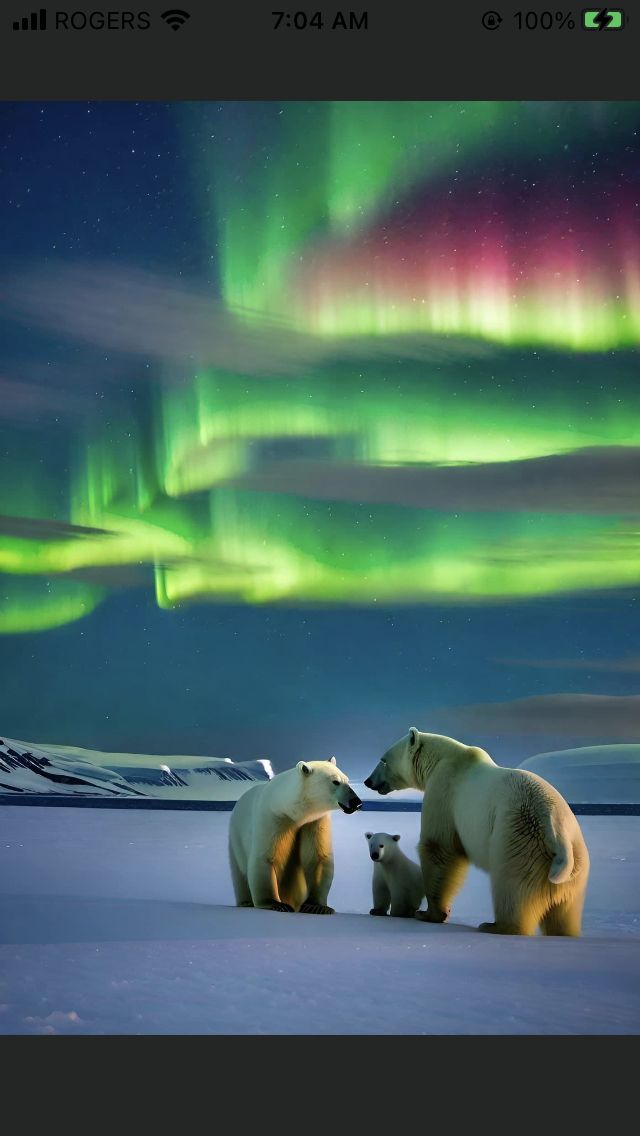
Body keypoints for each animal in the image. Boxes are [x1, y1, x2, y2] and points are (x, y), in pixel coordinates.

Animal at [229, 754, 361, 913]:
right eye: (335, 781)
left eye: (347, 780)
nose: (356, 802)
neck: (292, 811)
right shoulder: (273, 819)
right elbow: (265, 858)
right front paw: (276, 904)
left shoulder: (314, 822)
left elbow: (318, 857)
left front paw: (316, 906)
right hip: (235, 838)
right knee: (239, 873)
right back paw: (246, 902)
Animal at [366, 731, 591, 936]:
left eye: (383, 760)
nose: (368, 781)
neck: (442, 759)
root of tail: (557, 832)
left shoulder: (444, 791)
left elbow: (439, 847)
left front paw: (429, 914)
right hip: (576, 864)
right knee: (564, 911)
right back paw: (563, 932)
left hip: (519, 835)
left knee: (512, 886)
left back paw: (496, 926)